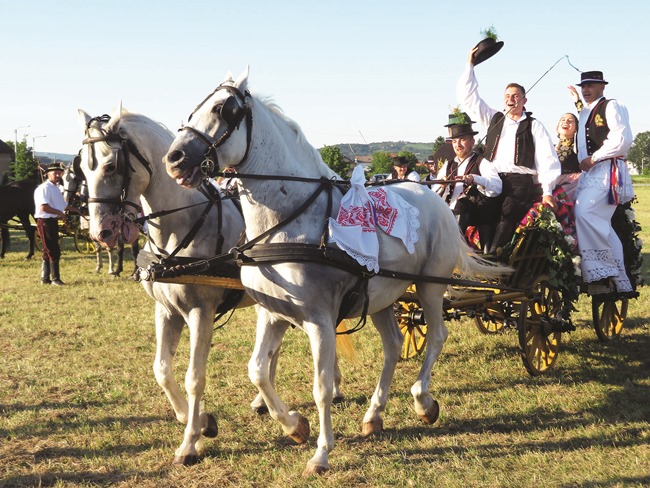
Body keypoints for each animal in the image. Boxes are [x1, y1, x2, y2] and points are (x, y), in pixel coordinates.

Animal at [162, 68, 506, 472]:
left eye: (223, 109)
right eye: (194, 108)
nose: (174, 158)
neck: (289, 221)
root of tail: (435, 196)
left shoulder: (320, 319)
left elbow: (323, 387)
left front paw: (321, 452)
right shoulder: (272, 313)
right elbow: (258, 371)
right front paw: (295, 426)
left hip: (429, 287)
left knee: (436, 336)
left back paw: (423, 401)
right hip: (383, 297)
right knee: (393, 346)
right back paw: (374, 415)